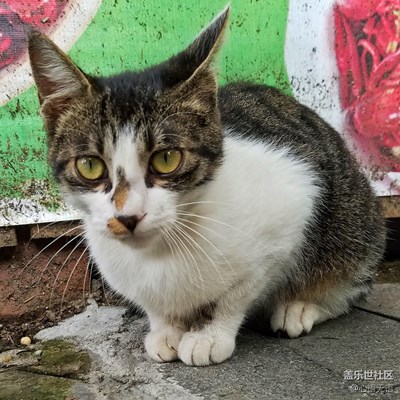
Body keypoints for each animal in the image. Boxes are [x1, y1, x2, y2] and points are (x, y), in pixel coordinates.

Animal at [28, 6, 386, 366]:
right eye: (89, 165)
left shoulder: (291, 211)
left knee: (349, 284)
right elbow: (156, 305)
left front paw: (208, 335)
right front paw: (166, 329)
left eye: (167, 159)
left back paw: (300, 307)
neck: (161, 251)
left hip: (351, 226)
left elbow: (236, 293)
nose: (128, 217)